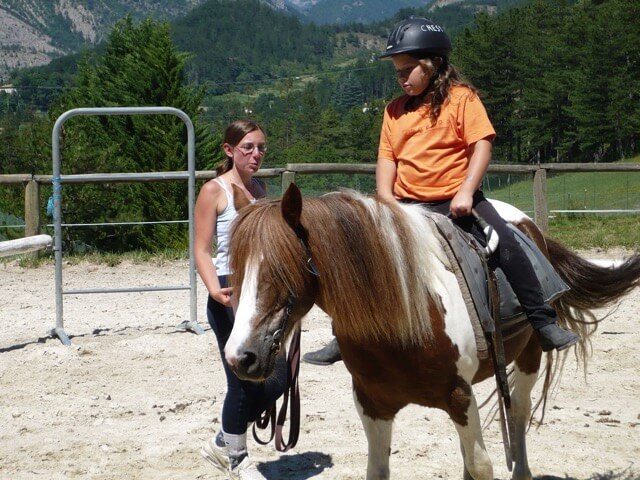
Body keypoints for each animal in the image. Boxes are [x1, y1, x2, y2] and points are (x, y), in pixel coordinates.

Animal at [222, 185, 636, 480]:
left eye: (281, 268)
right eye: (236, 269)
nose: (240, 356)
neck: (406, 317)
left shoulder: (460, 395)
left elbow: (482, 466)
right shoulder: (372, 403)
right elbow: (380, 469)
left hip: (529, 355)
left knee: (518, 413)